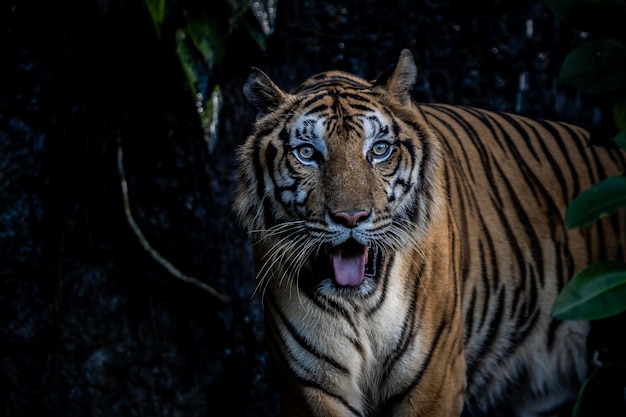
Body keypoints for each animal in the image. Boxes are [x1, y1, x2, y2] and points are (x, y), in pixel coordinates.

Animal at [233, 49, 624, 416]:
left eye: (379, 149)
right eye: (307, 153)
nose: (351, 217)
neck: (359, 307)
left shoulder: (434, 381)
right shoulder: (311, 389)